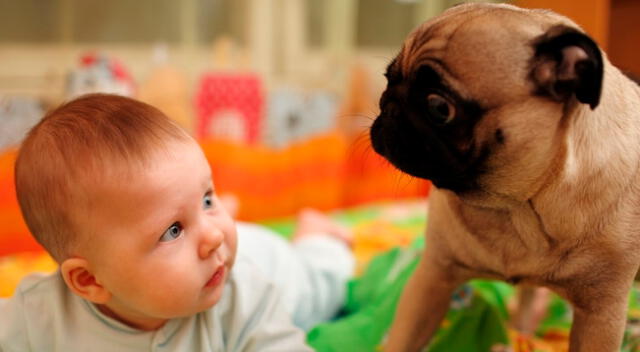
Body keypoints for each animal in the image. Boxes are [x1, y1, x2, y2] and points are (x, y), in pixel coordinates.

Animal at [368, 2, 640, 352]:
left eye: (439, 107)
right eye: (388, 79)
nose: (388, 105)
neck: (516, 207)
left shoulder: (600, 315)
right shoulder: (433, 276)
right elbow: (403, 338)